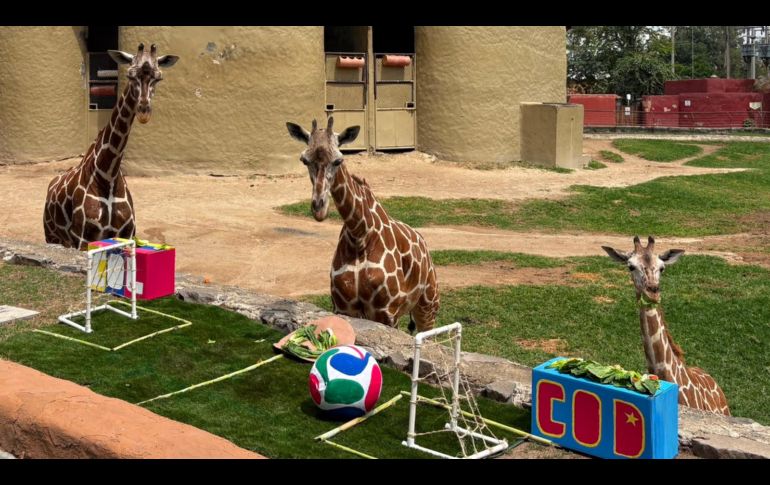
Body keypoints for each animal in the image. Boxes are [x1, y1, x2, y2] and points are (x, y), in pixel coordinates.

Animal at [43, 43, 179, 250]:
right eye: (130, 75)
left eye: (158, 77)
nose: (143, 112)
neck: (108, 175)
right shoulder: (82, 238)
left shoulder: (127, 234)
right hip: (53, 237)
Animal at [286, 117, 440, 333]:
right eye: (304, 160)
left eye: (338, 160)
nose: (319, 208)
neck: (359, 233)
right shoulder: (343, 307)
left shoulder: (387, 311)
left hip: (428, 304)